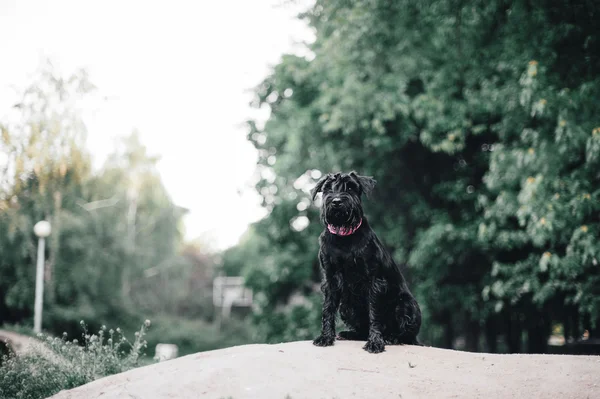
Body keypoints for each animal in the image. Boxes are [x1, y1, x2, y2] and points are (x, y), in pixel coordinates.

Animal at [310, 171, 422, 354]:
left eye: (350, 187)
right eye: (327, 188)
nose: (336, 201)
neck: (344, 238)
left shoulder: (374, 281)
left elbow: (374, 314)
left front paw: (375, 342)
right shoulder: (330, 278)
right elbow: (328, 309)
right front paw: (325, 337)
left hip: (406, 305)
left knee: (406, 335)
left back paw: (391, 338)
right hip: (347, 306)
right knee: (362, 330)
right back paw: (349, 334)